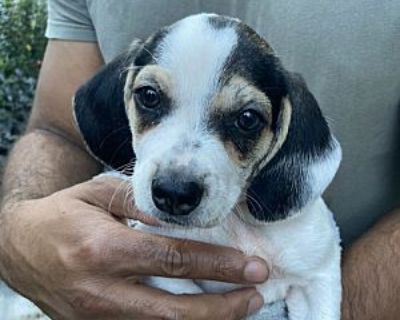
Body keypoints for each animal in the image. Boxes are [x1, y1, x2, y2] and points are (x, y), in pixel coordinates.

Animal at [73, 13, 342, 320]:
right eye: (149, 95)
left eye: (248, 118)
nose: (174, 193)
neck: (234, 225)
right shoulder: (156, 257)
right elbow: (185, 291)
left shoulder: (320, 275)